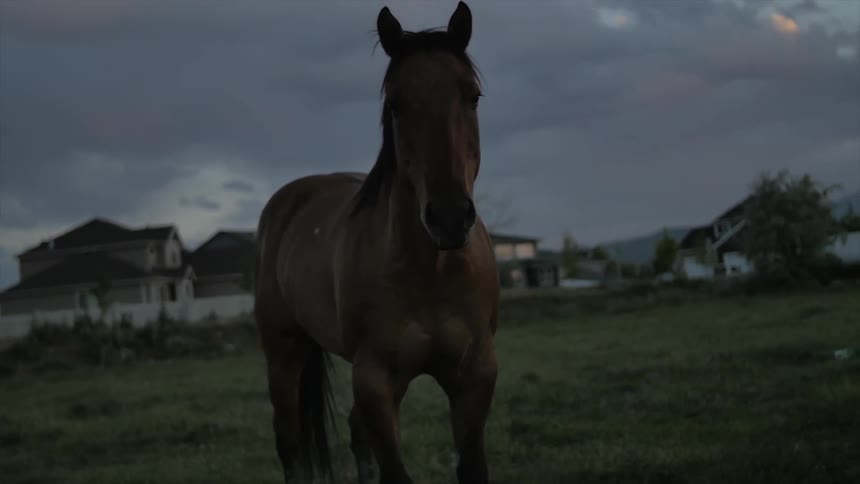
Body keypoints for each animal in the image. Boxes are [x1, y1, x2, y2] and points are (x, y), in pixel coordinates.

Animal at [254, 3, 499, 483]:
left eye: (473, 96)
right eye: (396, 104)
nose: (448, 218)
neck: (431, 272)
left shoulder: (475, 376)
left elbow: (470, 466)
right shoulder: (375, 380)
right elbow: (394, 471)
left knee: (354, 436)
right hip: (283, 354)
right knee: (290, 443)